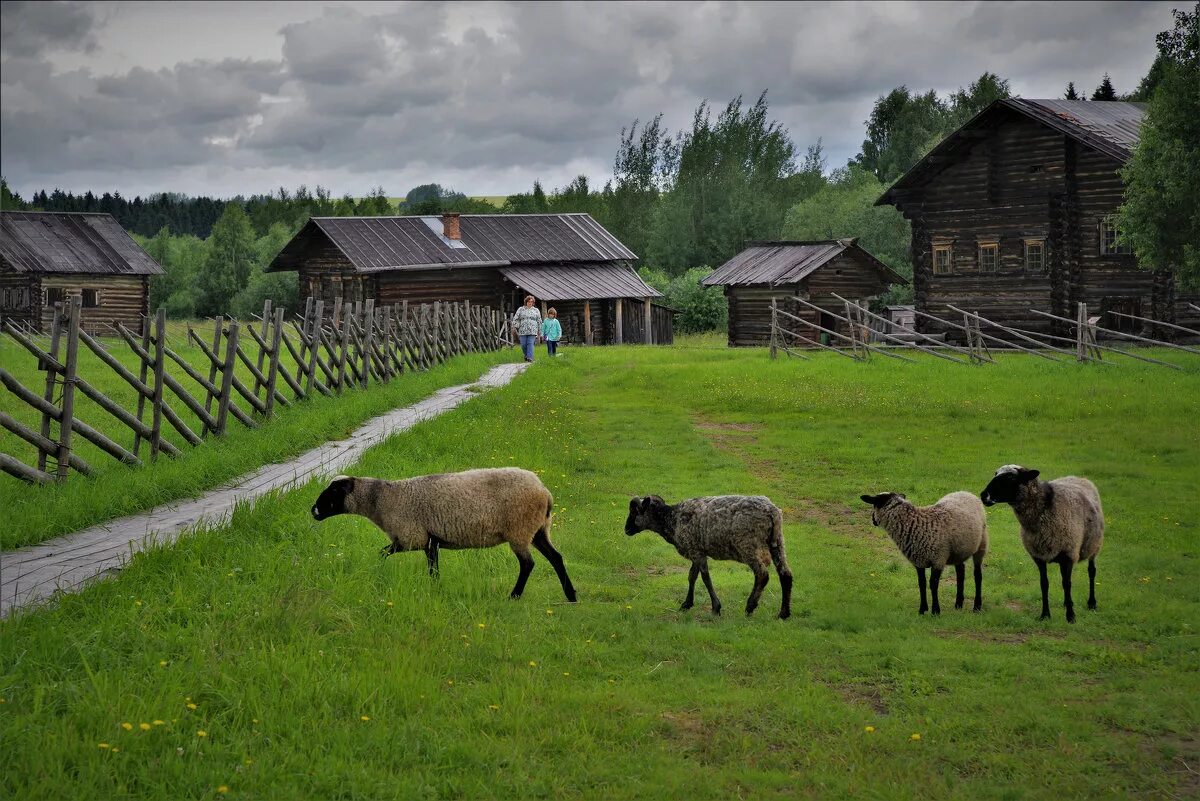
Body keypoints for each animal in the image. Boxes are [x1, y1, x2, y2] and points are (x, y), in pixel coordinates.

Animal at [312, 470, 578, 599]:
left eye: (334, 491)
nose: (313, 510)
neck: (382, 500)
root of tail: (545, 492)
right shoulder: (429, 540)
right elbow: (433, 568)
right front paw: (435, 588)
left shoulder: (411, 537)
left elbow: (384, 553)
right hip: (539, 529)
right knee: (556, 557)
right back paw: (571, 595)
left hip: (520, 529)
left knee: (528, 564)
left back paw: (514, 595)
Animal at [624, 494, 792, 618]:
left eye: (634, 511)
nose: (626, 530)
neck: (671, 519)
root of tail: (771, 512)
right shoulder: (696, 550)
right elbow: (692, 576)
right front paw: (687, 604)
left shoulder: (696, 552)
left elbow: (705, 578)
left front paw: (716, 607)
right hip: (777, 542)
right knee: (786, 574)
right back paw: (783, 614)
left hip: (748, 545)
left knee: (762, 575)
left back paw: (750, 607)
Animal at [859, 491, 988, 618]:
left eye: (875, 503)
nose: (873, 520)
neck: (914, 524)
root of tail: (966, 492)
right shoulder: (919, 561)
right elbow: (922, 584)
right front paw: (922, 610)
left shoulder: (938, 559)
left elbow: (933, 584)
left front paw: (935, 611)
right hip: (959, 551)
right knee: (960, 573)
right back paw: (958, 604)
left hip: (981, 544)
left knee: (978, 575)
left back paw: (977, 606)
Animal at [979, 462, 1099, 623]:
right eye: (996, 473)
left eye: (1011, 477)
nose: (983, 495)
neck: (1045, 509)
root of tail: (1078, 477)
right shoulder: (1039, 556)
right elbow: (1044, 584)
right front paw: (1045, 615)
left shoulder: (1068, 553)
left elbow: (1067, 584)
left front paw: (1071, 617)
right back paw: (1067, 603)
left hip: (1094, 545)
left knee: (1091, 571)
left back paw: (1092, 603)